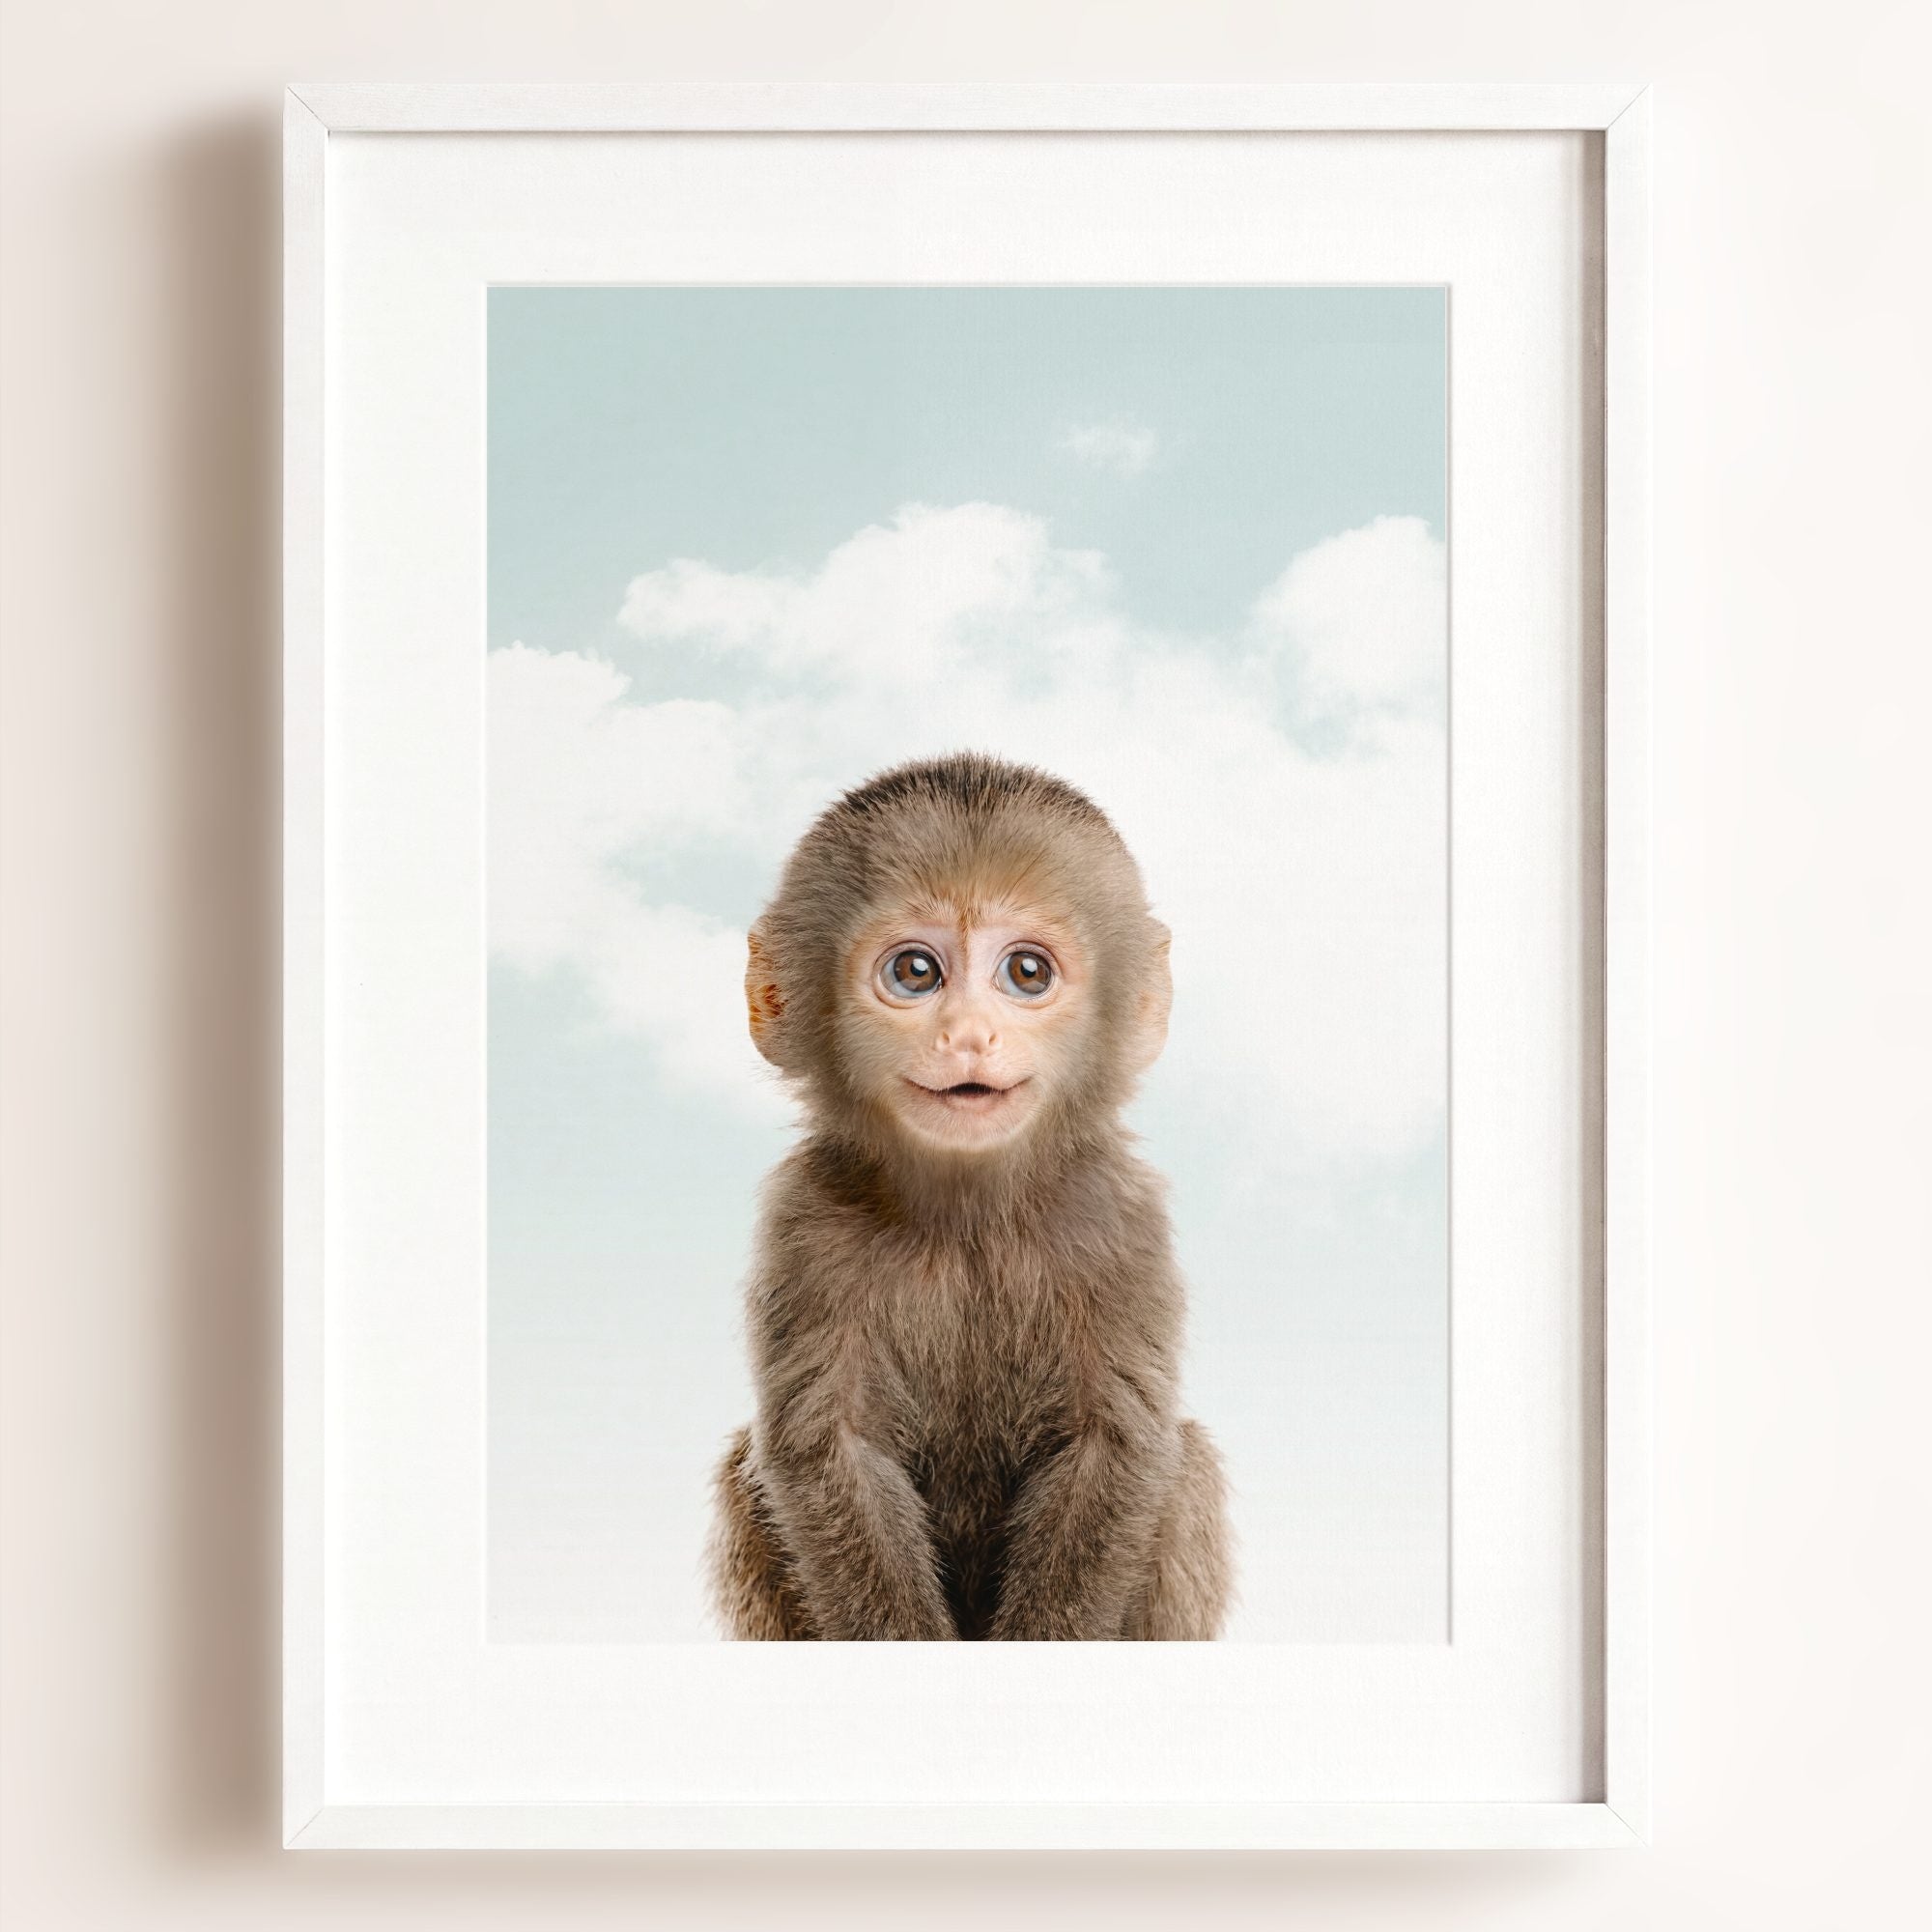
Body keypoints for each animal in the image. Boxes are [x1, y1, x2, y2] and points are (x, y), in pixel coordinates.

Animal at [708, 752, 1231, 1640]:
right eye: (915, 972)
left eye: (1027, 972)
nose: (968, 1036)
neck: (968, 1219)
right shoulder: (805, 1221)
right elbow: (829, 1451)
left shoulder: (1119, 1218)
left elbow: (1115, 1447)